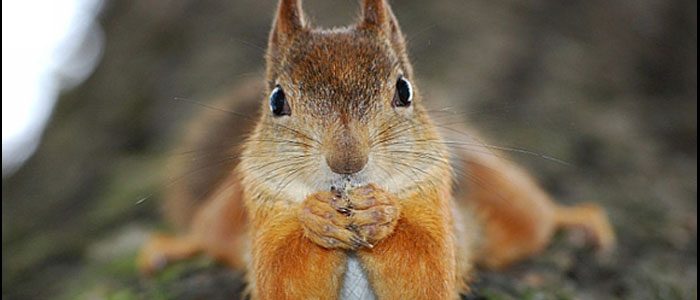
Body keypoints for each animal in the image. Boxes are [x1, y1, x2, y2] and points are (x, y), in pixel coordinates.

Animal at [139, 1, 616, 298]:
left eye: (404, 90)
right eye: (276, 100)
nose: (347, 161)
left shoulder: (436, 204)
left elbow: (428, 272)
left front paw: (381, 213)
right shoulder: (264, 210)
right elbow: (282, 276)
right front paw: (316, 218)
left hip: (498, 191)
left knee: (534, 219)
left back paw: (576, 219)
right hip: (226, 213)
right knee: (209, 234)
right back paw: (171, 248)